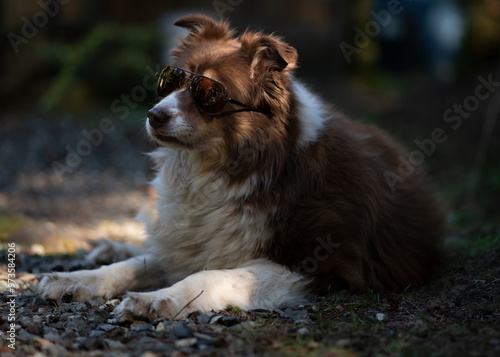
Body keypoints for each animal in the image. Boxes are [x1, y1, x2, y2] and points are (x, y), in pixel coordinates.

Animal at [40, 14, 446, 320]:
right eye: (171, 80)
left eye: (210, 94)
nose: (154, 116)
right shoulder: (195, 237)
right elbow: (139, 264)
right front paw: (79, 279)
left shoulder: (312, 264)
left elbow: (211, 276)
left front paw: (155, 301)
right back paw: (108, 248)